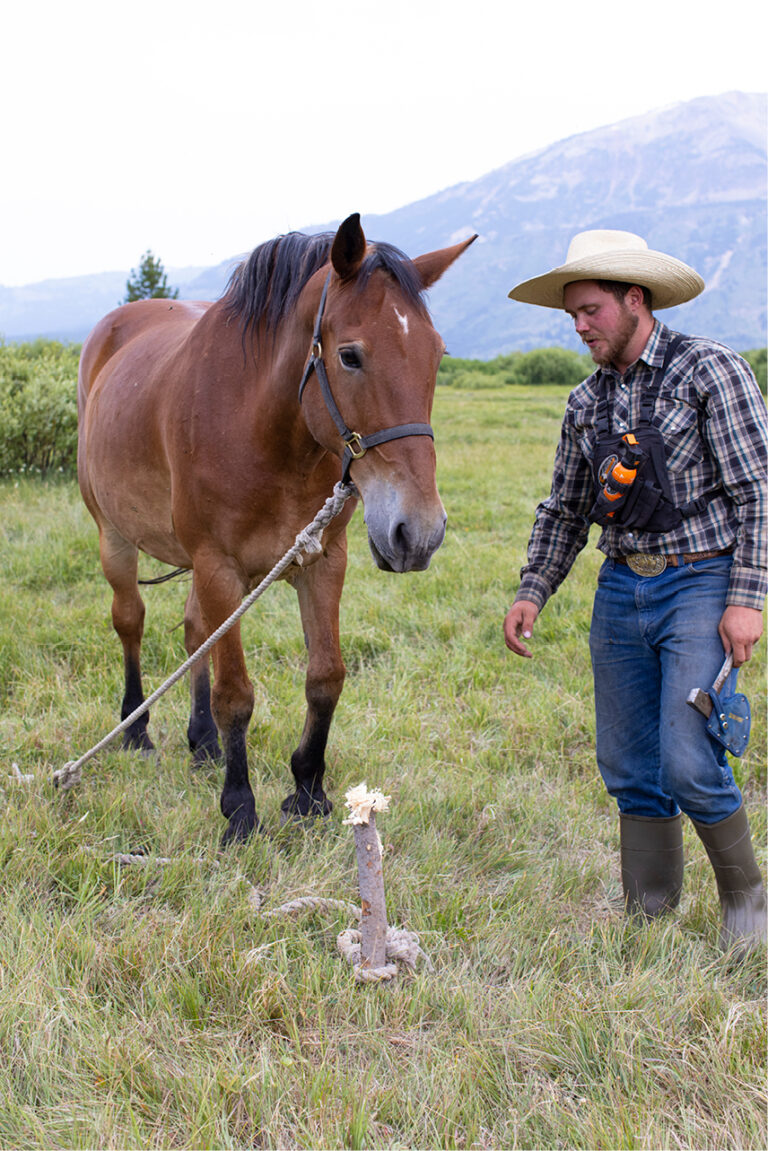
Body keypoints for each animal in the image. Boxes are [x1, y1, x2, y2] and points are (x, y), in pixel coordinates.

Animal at [77, 212, 476, 844]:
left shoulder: (323, 561)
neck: (264, 429)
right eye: (350, 356)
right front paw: (240, 810)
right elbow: (236, 693)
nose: (421, 532)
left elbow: (325, 676)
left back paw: (203, 745)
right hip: (115, 538)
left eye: (436, 355)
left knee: (195, 634)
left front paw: (307, 791)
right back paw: (136, 732)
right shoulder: (218, 566)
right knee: (130, 621)